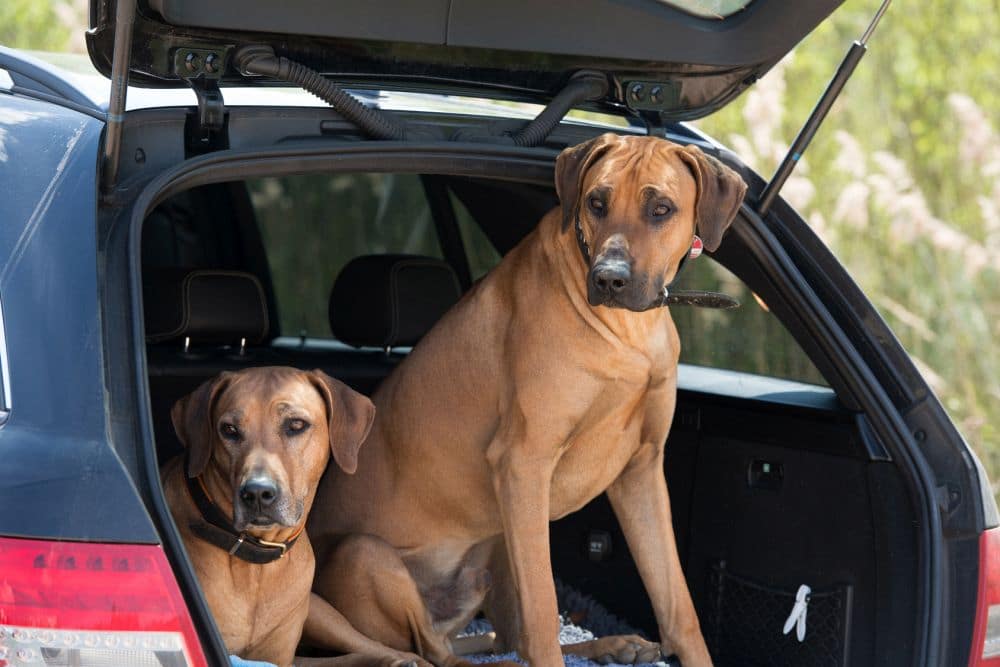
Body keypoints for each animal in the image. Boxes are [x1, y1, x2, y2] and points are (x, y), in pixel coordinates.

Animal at [166, 366, 436, 667]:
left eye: (296, 425)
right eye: (229, 430)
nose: (257, 492)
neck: (257, 566)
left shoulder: (280, 653)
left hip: (322, 610)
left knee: (390, 647)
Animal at [308, 134, 748, 667]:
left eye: (661, 208)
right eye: (596, 203)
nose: (609, 279)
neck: (627, 332)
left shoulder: (641, 471)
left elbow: (677, 605)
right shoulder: (524, 463)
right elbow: (543, 610)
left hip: (495, 549)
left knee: (499, 640)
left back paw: (617, 644)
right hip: (367, 556)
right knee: (440, 653)